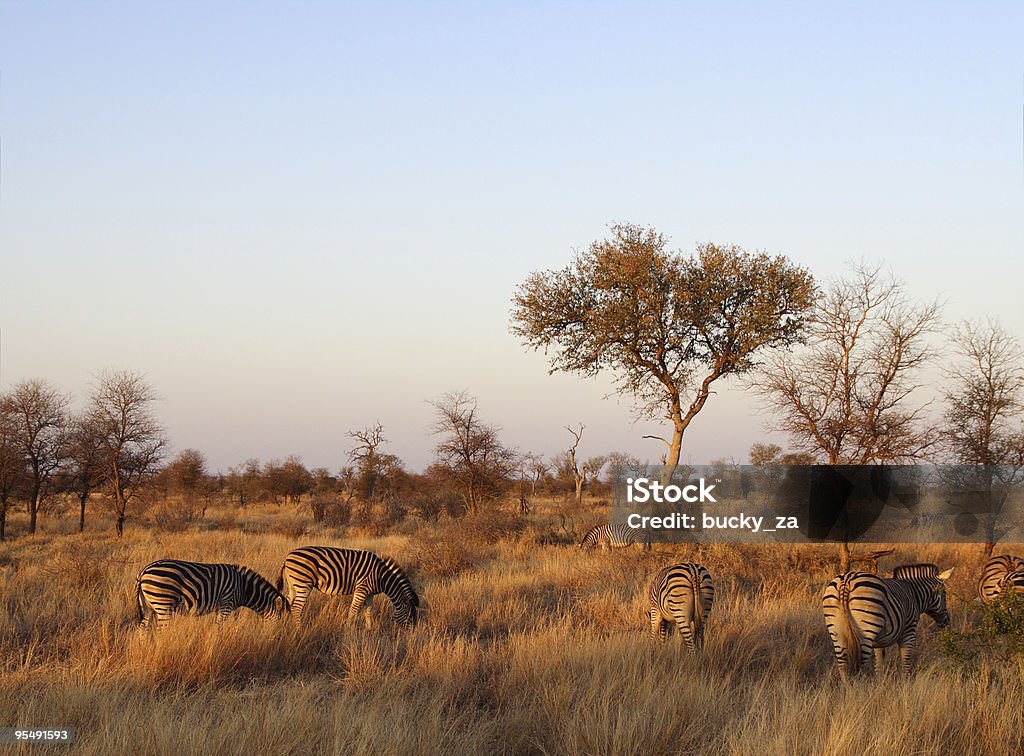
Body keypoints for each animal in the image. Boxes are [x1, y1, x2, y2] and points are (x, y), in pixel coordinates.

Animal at [136, 553, 288, 631]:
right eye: (282, 621)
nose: (282, 639)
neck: (243, 588)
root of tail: (144, 571)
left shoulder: (220, 607)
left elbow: (217, 626)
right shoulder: (226, 604)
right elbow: (219, 628)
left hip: (148, 606)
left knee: (143, 629)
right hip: (163, 603)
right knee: (161, 630)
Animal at [278, 544, 417, 626]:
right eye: (410, 617)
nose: (411, 634)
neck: (381, 577)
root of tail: (287, 556)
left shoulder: (370, 593)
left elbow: (368, 611)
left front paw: (369, 630)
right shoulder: (362, 589)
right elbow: (353, 611)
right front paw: (349, 631)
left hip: (293, 585)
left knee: (288, 602)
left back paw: (285, 625)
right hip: (303, 584)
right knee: (297, 608)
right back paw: (298, 629)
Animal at [819, 561, 954, 676]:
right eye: (945, 594)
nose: (947, 621)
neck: (914, 594)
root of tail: (846, 582)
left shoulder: (879, 641)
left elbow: (879, 664)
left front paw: (879, 683)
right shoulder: (909, 631)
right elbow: (905, 661)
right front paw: (906, 683)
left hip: (836, 630)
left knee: (843, 665)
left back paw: (849, 689)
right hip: (865, 631)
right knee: (859, 665)